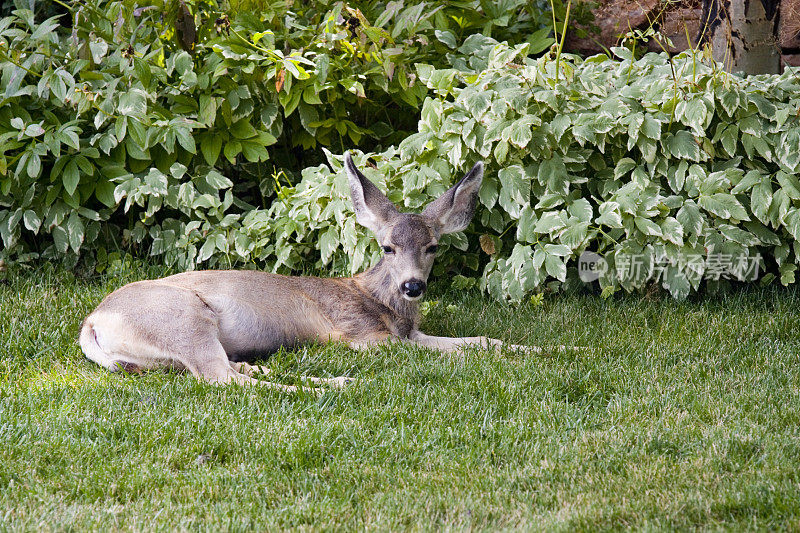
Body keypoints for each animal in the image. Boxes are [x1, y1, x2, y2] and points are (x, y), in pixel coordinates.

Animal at [78, 154, 536, 390]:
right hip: (182, 317)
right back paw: (327, 384)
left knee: (227, 372)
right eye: (387, 247)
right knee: (220, 380)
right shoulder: (364, 337)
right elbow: (456, 351)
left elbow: (483, 341)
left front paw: (544, 349)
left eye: (433, 247)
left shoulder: (410, 333)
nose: (412, 285)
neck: (382, 305)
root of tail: (92, 322)